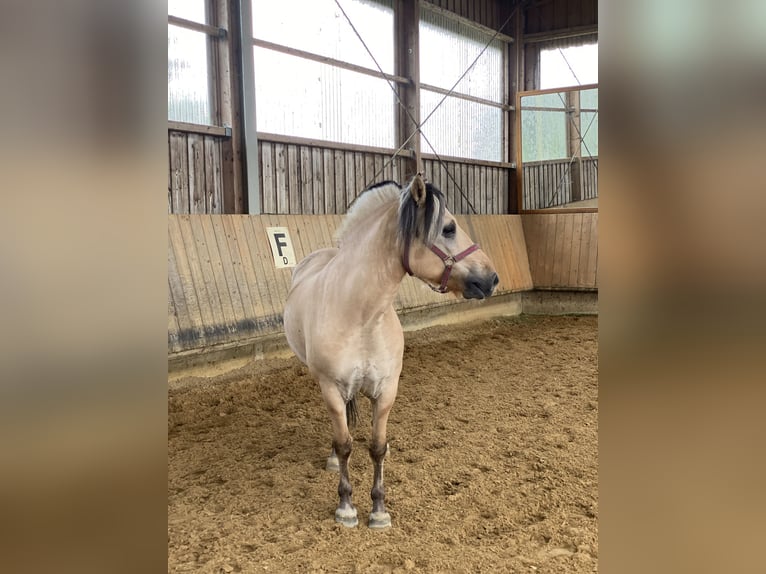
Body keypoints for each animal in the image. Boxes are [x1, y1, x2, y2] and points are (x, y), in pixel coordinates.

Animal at [284, 174, 500, 532]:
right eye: (449, 228)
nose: (491, 278)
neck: (361, 316)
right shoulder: (331, 387)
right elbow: (345, 445)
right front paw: (346, 507)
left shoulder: (386, 391)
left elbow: (377, 448)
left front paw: (379, 509)